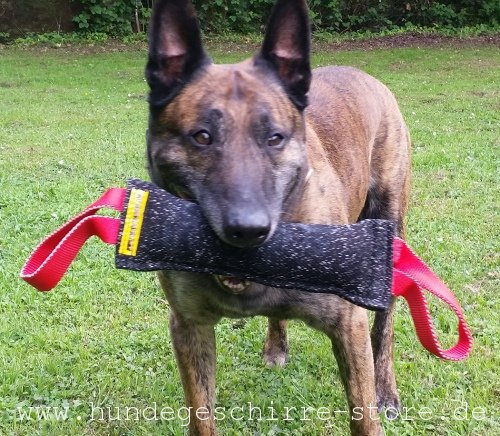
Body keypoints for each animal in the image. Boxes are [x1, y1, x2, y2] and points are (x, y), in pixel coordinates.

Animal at [145, 1, 410, 434]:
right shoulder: (189, 327)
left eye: (275, 138)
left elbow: (363, 414)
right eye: (201, 137)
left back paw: (387, 388)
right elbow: (201, 415)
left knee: (384, 324)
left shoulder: (349, 325)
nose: (248, 229)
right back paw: (276, 344)